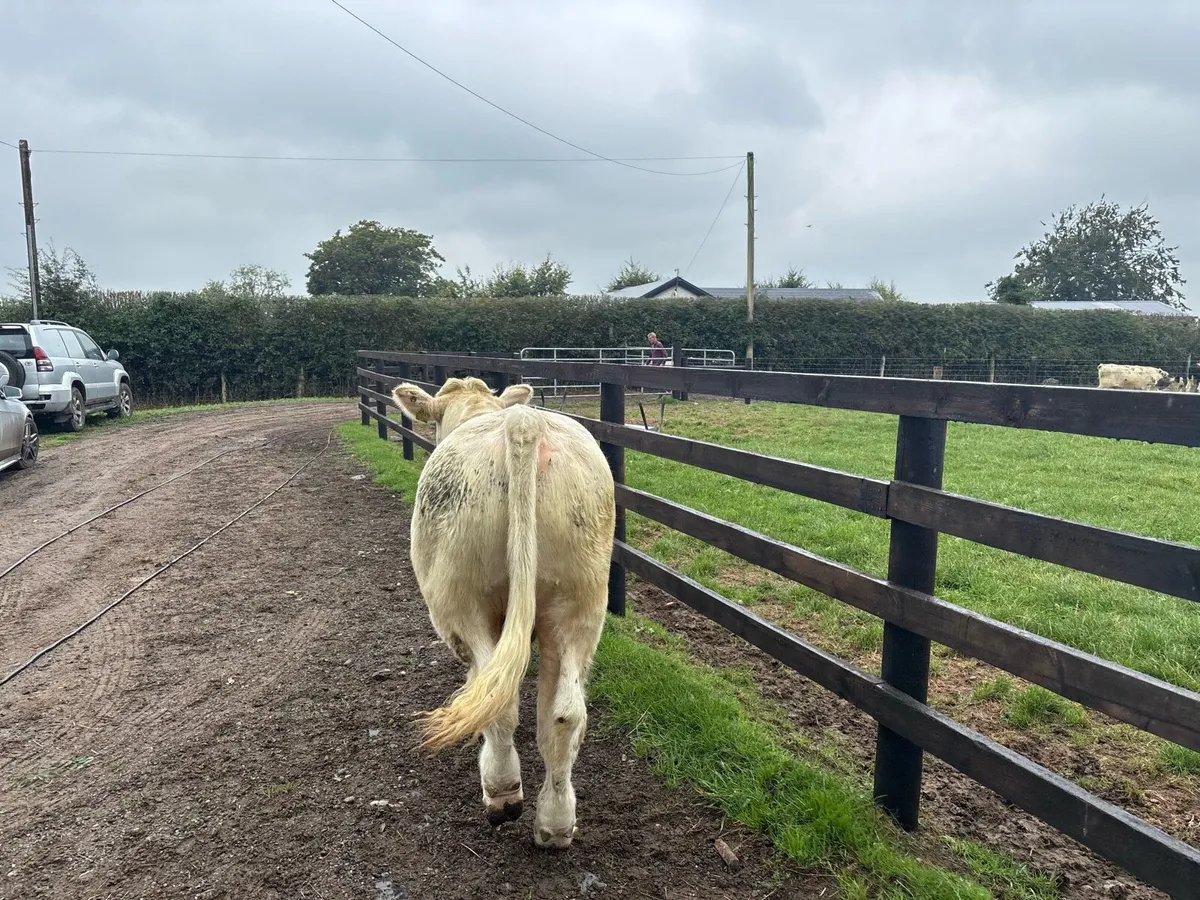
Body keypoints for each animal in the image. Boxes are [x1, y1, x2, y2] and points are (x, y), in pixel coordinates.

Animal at [391, 376, 615, 850]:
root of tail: (523, 422)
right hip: (580, 601)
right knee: (564, 713)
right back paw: (556, 824)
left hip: (463, 600)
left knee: (497, 699)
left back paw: (501, 793)